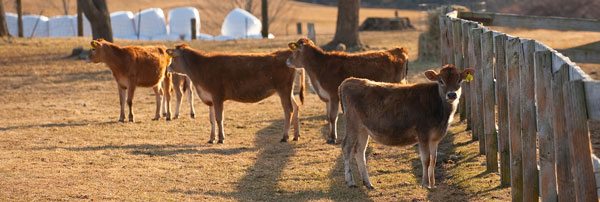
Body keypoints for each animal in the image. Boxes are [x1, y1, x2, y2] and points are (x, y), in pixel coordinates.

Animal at [165, 44, 304, 144]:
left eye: (173, 57)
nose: (168, 68)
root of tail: (286, 52)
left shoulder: (217, 96)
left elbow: (219, 118)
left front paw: (221, 138)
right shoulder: (210, 99)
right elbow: (211, 119)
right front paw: (211, 138)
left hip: (283, 89)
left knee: (288, 110)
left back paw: (285, 136)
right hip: (288, 91)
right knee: (296, 106)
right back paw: (296, 136)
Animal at [338, 64, 474, 189]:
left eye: (459, 80)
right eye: (441, 81)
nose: (452, 95)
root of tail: (349, 81)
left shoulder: (435, 138)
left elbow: (434, 160)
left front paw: (433, 184)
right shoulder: (423, 134)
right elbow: (426, 159)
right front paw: (425, 184)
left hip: (363, 129)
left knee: (359, 150)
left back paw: (368, 183)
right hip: (352, 123)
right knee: (346, 147)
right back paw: (350, 182)